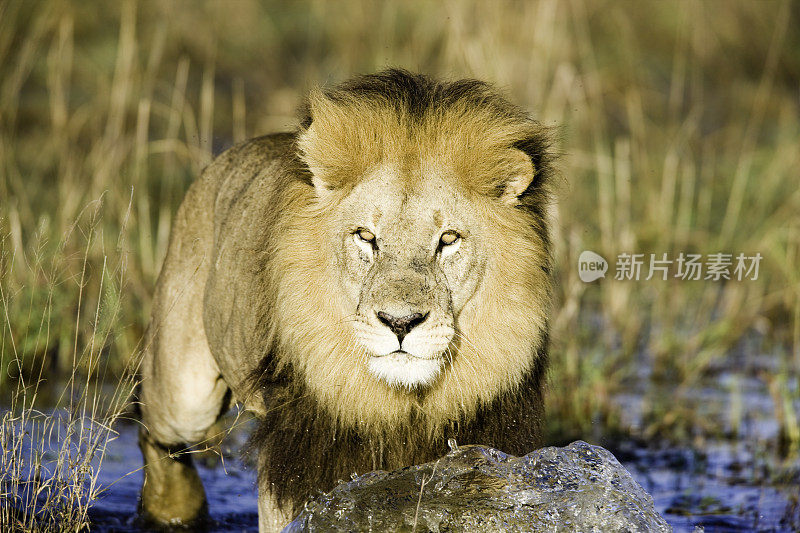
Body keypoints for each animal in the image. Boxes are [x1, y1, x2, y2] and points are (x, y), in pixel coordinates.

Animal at [138, 68, 552, 528]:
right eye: (366, 237)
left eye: (447, 240)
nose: (400, 323)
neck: (406, 404)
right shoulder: (299, 464)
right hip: (185, 391)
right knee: (155, 432)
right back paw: (174, 508)